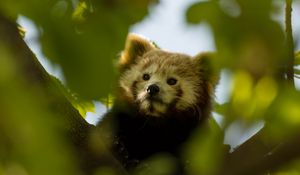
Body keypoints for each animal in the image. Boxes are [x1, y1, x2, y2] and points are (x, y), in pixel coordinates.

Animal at [97, 33, 217, 173]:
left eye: (172, 81)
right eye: (146, 76)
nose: (152, 88)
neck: (154, 124)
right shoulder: (117, 120)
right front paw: (119, 149)